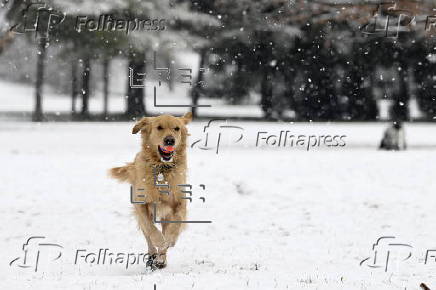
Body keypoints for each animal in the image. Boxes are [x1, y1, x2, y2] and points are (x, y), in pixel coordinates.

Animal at [108, 112, 192, 270]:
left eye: (177, 128)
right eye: (159, 127)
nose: (170, 140)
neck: (161, 169)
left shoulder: (179, 202)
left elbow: (176, 223)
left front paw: (170, 239)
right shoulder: (141, 204)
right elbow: (151, 229)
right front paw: (159, 242)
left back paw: (161, 260)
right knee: (148, 234)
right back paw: (153, 257)